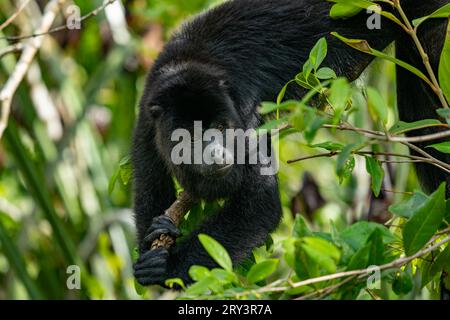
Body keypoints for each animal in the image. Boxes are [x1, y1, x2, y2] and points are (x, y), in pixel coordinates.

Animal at [132, 0, 448, 288]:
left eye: (222, 127)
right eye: (192, 135)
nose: (219, 154)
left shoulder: (244, 108)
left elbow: (259, 204)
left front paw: (167, 268)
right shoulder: (147, 120)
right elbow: (150, 190)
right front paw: (159, 233)